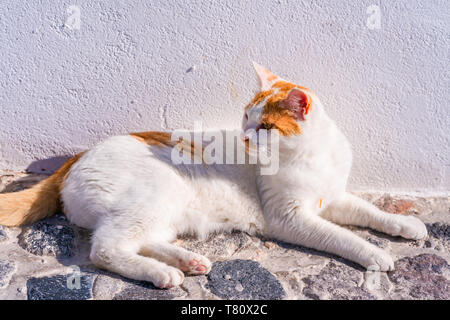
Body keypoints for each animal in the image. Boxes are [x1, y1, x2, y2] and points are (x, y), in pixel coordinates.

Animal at [0, 62, 428, 288]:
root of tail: (74, 158)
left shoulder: (333, 197)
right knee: (105, 248)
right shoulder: (291, 218)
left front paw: (405, 226)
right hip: (159, 191)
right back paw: (163, 273)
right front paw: (375, 253)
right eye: (245, 117)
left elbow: (370, 213)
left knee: (141, 240)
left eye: (265, 126)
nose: (244, 136)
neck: (311, 157)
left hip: (164, 212)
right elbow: (342, 236)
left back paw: (188, 261)